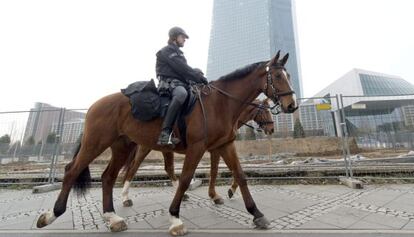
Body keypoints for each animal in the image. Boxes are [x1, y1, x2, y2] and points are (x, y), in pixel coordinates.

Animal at [120, 97, 274, 206]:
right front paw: (217, 194)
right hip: (146, 147)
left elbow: (235, 169)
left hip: (166, 149)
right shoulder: (216, 149)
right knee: (133, 168)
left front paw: (230, 190)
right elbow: (215, 171)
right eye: (266, 111)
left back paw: (183, 194)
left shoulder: (223, 147)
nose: (271, 129)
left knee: (168, 168)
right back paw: (125, 198)